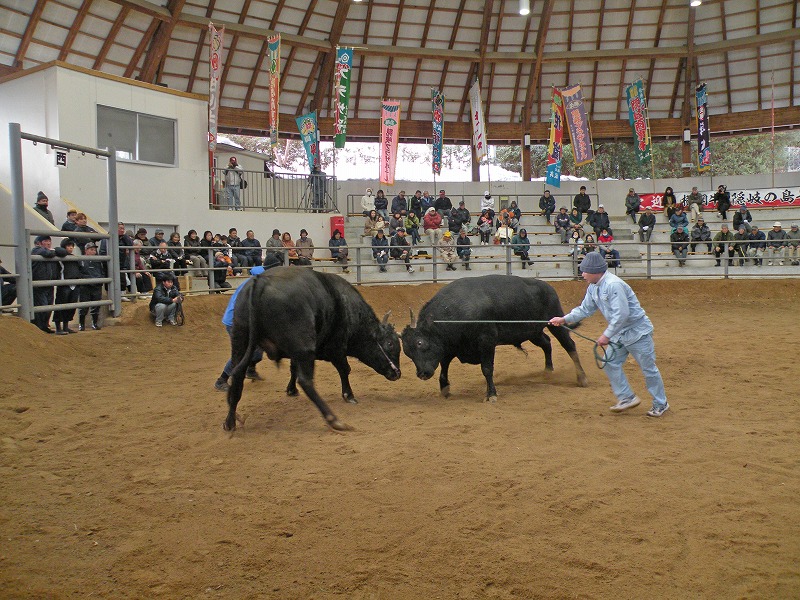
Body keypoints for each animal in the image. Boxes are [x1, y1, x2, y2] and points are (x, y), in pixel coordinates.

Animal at [223, 268, 400, 432]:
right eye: (390, 344)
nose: (397, 373)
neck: (350, 310)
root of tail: (261, 281)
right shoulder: (336, 348)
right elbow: (345, 370)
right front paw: (349, 395)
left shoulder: (296, 353)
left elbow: (293, 369)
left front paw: (291, 390)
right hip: (304, 346)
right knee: (306, 381)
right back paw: (334, 420)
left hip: (241, 338)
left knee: (237, 375)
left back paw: (230, 421)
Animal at [400, 276, 588, 398]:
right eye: (407, 353)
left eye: (420, 343)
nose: (422, 374)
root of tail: (548, 287)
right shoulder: (451, 345)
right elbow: (444, 364)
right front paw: (444, 387)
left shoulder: (487, 342)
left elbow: (487, 369)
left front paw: (491, 394)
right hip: (532, 332)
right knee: (546, 343)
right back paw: (548, 371)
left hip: (556, 322)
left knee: (569, 345)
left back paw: (582, 378)